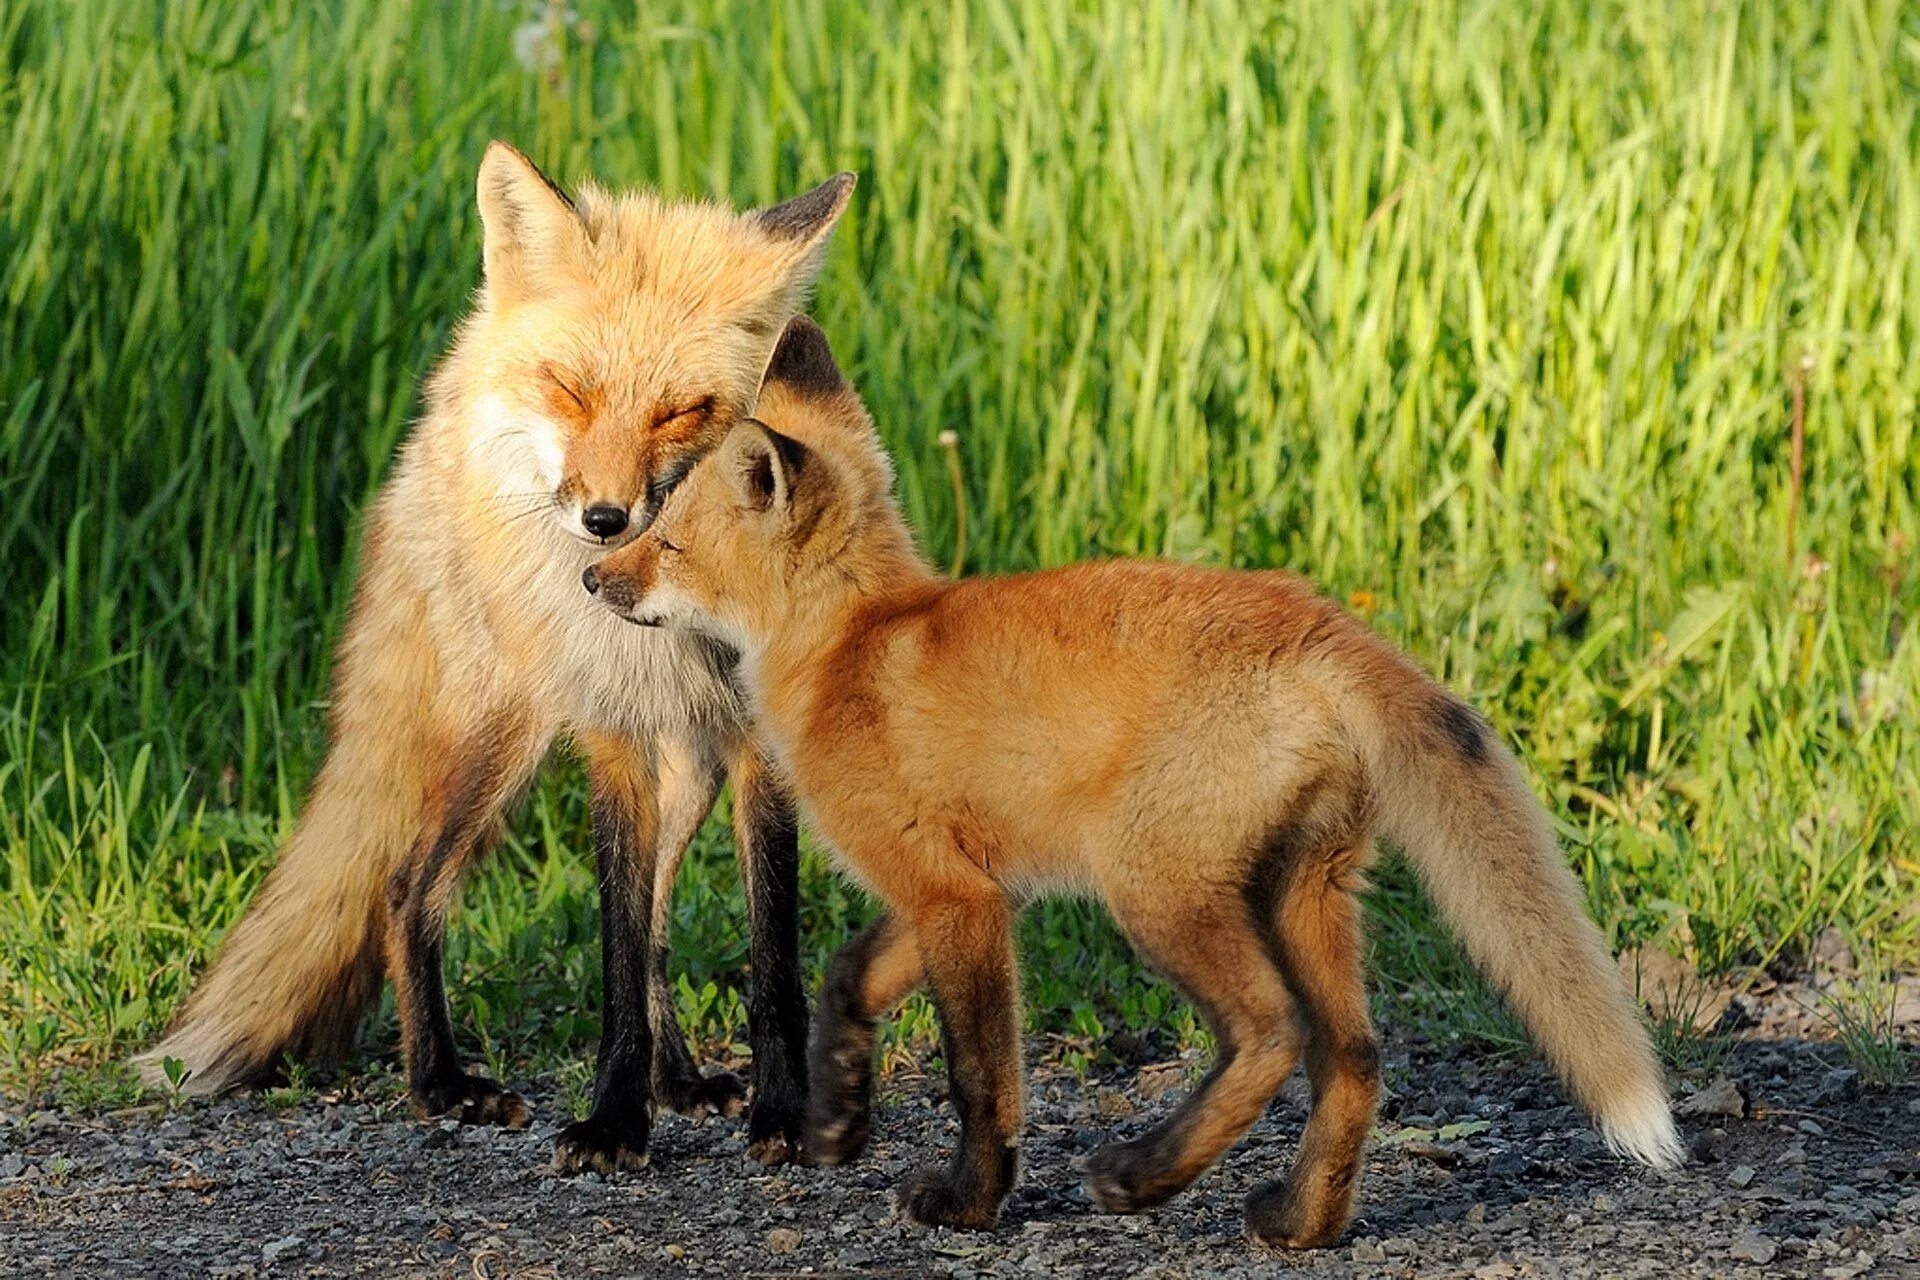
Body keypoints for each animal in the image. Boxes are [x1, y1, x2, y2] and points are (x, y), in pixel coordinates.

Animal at [583, 322, 1681, 1251]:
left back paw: (1145, 1172)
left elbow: (982, 1076)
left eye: (666, 539)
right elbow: (848, 977)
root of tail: (1321, 622)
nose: (594, 576)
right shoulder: (958, 884)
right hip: (1303, 894)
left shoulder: (957, 898)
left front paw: (968, 1201)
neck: (852, 640)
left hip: (1155, 891)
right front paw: (838, 1117)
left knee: (1273, 1032)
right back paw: (1302, 1222)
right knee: (1356, 1059)